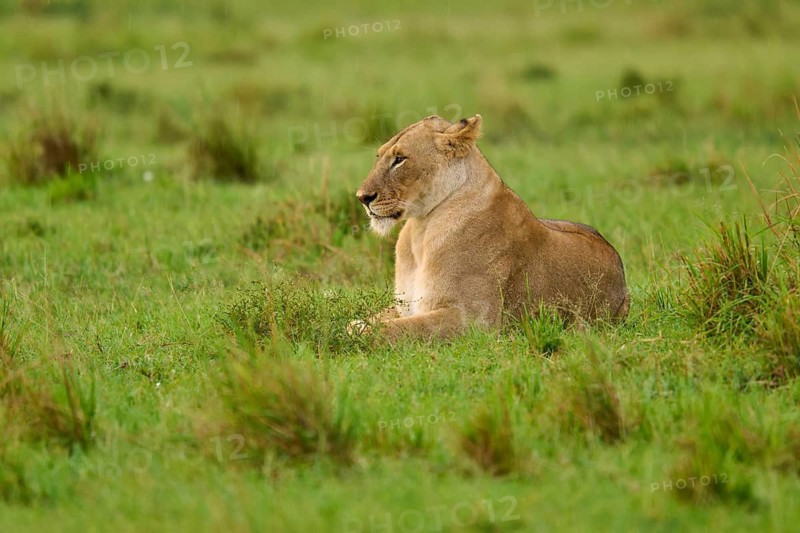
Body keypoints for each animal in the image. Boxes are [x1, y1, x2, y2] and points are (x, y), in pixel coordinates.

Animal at [353, 114, 629, 342]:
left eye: (400, 159)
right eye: (379, 156)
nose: (362, 197)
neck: (420, 230)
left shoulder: (474, 320)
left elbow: (395, 329)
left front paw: (360, 331)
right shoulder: (404, 306)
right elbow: (375, 319)